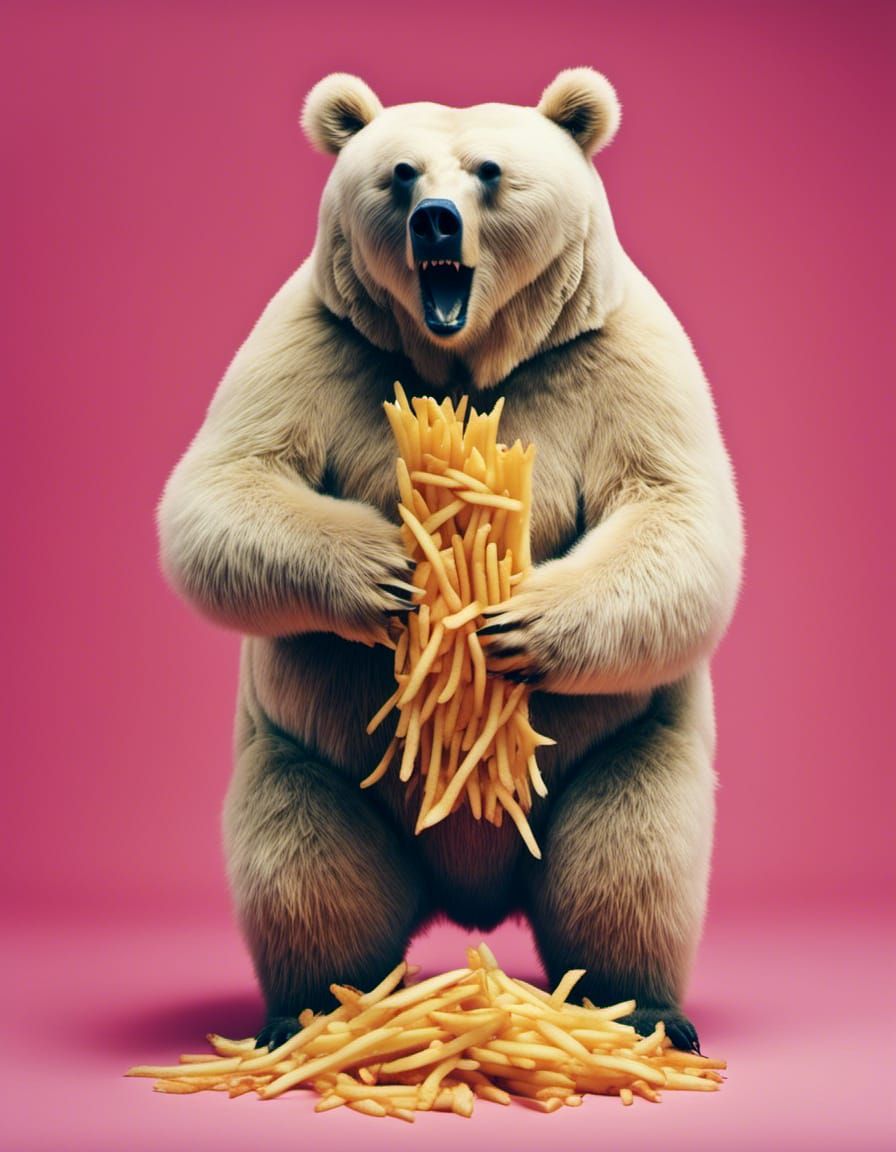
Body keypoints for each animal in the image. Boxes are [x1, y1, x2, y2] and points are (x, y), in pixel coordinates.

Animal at [157, 68, 743, 1054]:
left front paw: (515, 619)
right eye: (398, 173)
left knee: (630, 861)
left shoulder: (615, 356)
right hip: (313, 759)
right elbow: (222, 488)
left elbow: (679, 510)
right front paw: (392, 570)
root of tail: (470, 900)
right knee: (306, 867)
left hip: (626, 747)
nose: (434, 220)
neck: (468, 362)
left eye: (490, 171)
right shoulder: (318, 345)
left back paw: (645, 1011)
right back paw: (312, 1012)